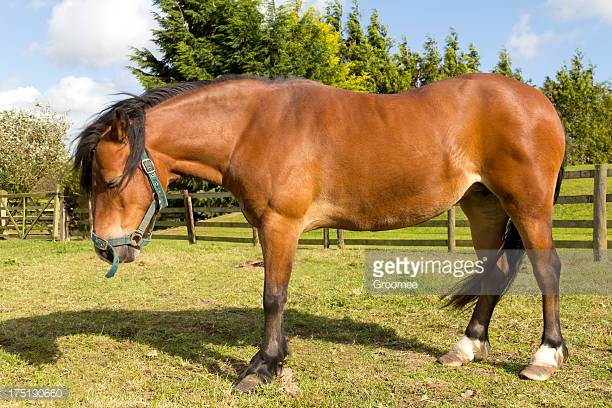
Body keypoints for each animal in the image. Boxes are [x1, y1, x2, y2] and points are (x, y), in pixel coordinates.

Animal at [74, 74, 568, 392]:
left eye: (110, 180)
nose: (103, 248)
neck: (254, 127)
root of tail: (540, 102)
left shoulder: (281, 225)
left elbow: (273, 297)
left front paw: (262, 367)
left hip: (527, 205)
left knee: (547, 269)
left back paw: (544, 357)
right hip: (483, 205)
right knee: (494, 272)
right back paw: (466, 347)